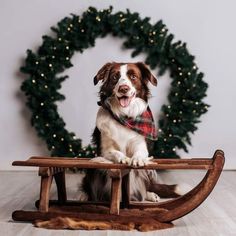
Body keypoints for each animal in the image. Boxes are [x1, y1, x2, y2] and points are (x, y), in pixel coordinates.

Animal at [80, 61, 183, 202]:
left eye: (133, 77)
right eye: (115, 77)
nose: (123, 88)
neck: (124, 116)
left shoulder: (141, 143)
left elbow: (140, 153)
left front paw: (137, 159)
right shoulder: (104, 150)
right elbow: (115, 152)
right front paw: (123, 158)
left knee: (145, 186)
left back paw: (150, 195)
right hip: (93, 168)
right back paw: (85, 196)